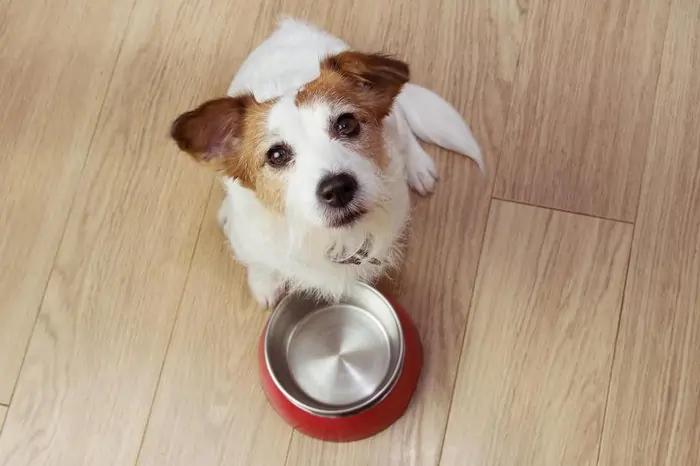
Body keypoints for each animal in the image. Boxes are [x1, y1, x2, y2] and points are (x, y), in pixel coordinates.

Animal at [170, 18, 482, 308]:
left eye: (346, 123)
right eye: (276, 155)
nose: (338, 188)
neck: (325, 237)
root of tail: (290, 26)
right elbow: (259, 263)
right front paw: (264, 284)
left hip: (394, 120)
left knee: (404, 128)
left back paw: (418, 167)